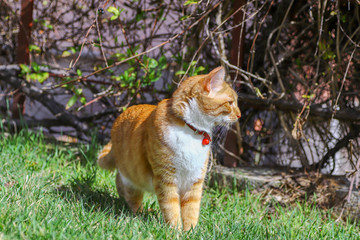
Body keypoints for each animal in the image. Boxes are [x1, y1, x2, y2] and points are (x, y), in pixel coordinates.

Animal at [97, 66, 240, 231]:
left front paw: (190, 231)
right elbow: (171, 208)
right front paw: (175, 231)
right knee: (131, 196)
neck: (190, 131)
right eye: (230, 103)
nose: (240, 115)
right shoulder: (166, 179)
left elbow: (191, 209)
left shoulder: (195, 180)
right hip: (131, 180)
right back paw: (137, 212)